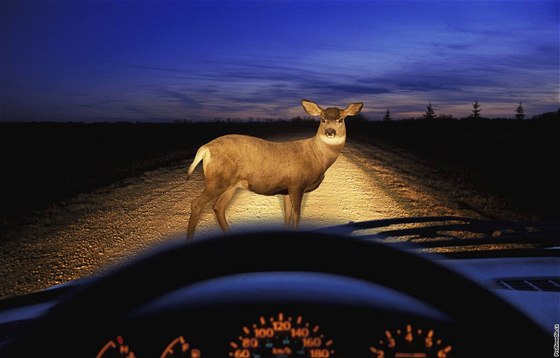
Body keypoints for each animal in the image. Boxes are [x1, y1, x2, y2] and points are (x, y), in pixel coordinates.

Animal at [186, 98, 366, 241]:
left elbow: (287, 216)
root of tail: (205, 149)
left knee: (218, 207)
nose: (330, 132)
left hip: (232, 184)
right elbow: (296, 215)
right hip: (218, 180)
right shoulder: (297, 184)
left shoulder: (286, 189)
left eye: (341, 119)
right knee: (196, 203)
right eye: (322, 119)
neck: (316, 157)